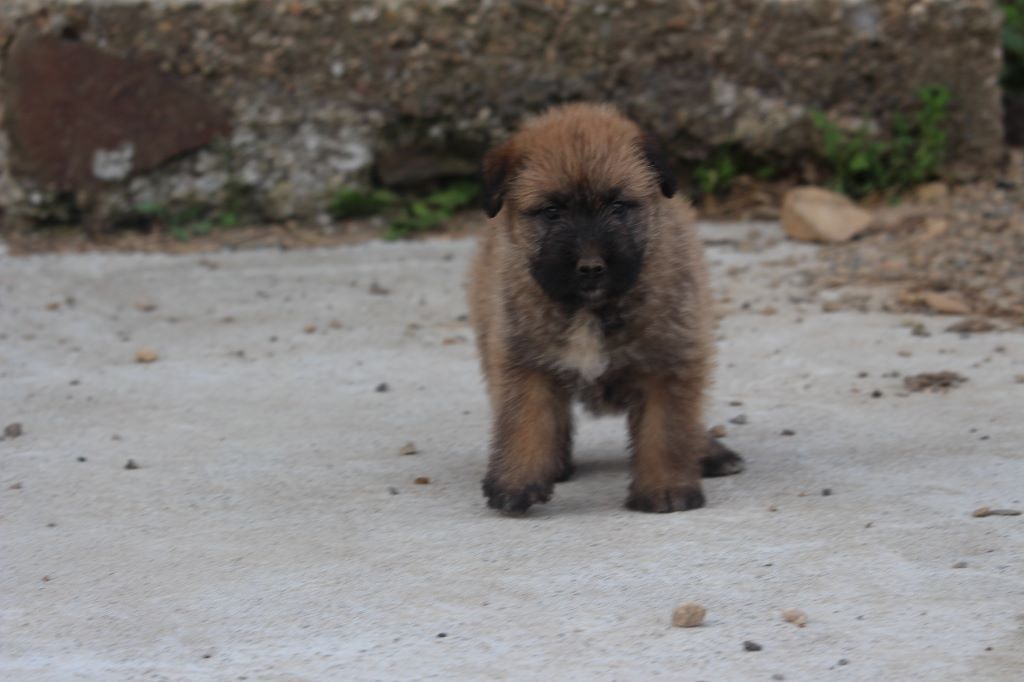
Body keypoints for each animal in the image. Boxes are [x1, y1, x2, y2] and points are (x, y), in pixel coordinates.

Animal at [466, 103, 745, 512]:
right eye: (552, 211)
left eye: (618, 205)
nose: (591, 266)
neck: (589, 311)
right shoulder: (525, 362)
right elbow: (524, 421)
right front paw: (517, 481)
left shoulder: (669, 363)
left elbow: (667, 430)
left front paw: (666, 489)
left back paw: (708, 452)